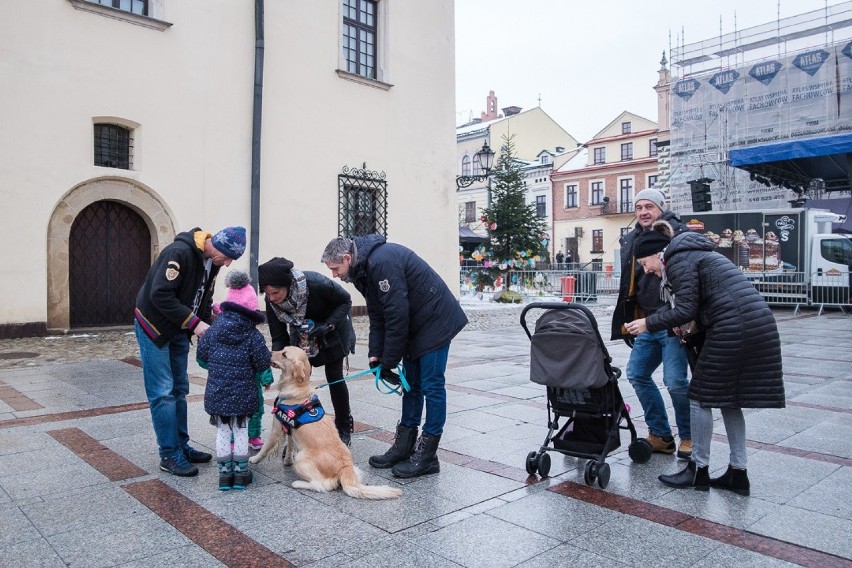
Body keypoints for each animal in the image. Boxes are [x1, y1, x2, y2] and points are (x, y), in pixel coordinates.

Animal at [250, 344, 402, 500]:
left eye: (284, 354)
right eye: (282, 350)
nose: (268, 353)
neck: (298, 388)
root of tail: (345, 467)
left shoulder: (277, 428)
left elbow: (265, 448)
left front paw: (254, 459)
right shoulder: (290, 428)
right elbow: (290, 446)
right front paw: (287, 461)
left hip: (301, 458)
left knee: (323, 485)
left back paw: (298, 483)